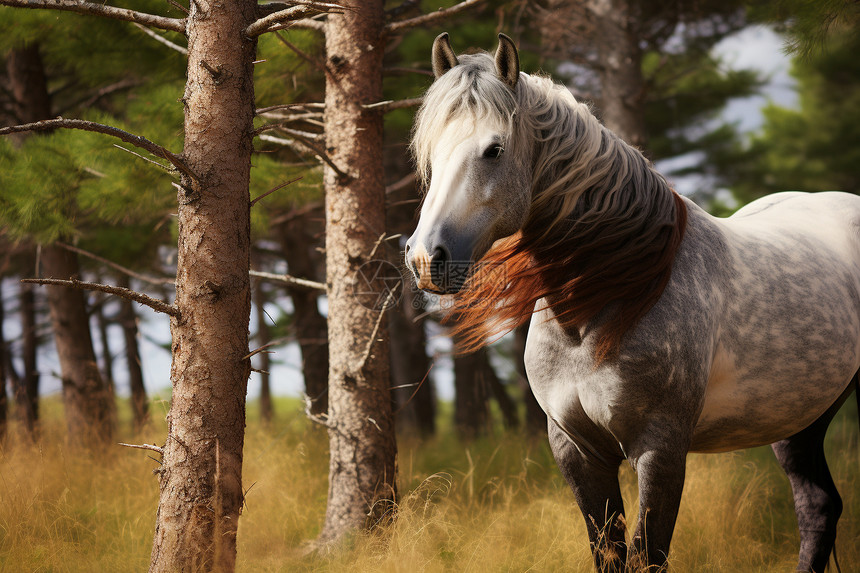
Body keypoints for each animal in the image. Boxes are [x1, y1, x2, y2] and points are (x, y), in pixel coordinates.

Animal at [404, 33, 860, 568]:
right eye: (428, 150)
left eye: (493, 149)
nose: (425, 258)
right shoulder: (578, 451)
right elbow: (608, 551)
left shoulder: (659, 452)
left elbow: (649, 553)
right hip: (799, 419)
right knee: (817, 506)